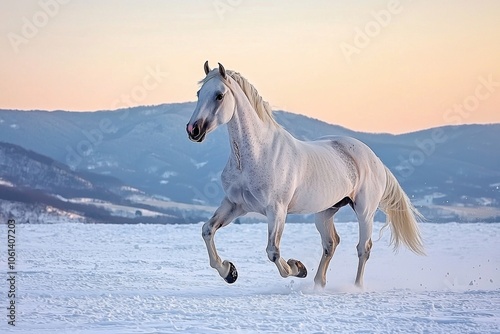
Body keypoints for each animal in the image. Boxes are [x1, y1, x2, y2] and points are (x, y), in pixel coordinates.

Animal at [188, 62, 426, 288]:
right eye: (199, 93)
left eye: (219, 95)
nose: (193, 130)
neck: (257, 155)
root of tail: (374, 158)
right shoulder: (235, 205)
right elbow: (207, 230)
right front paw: (229, 272)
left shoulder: (277, 210)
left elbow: (273, 252)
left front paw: (298, 267)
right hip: (325, 211)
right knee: (331, 243)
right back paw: (318, 284)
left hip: (364, 211)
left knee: (363, 248)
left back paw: (356, 287)